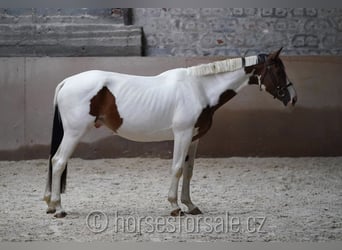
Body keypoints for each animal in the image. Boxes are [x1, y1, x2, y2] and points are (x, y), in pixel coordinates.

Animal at [43, 47, 296, 218]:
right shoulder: (182, 134)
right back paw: (59, 208)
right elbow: (176, 169)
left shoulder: (193, 138)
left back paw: (50, 204)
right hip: (74, 133)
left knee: (55, 161)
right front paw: (175, 207)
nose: (293, 98)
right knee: (59, 162)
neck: (199, 88)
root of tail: (67, 82)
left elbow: (188, 171)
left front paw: (190, 205)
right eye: (278, 70)